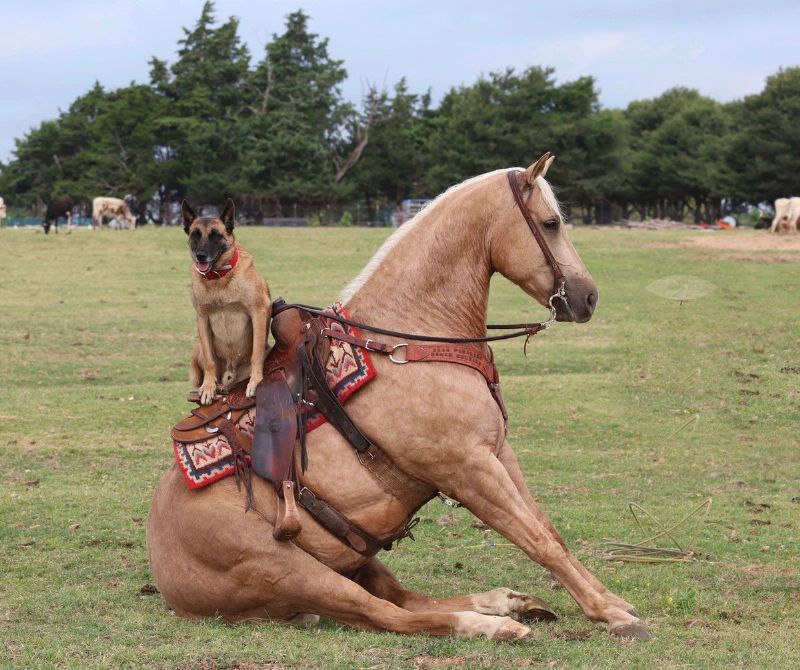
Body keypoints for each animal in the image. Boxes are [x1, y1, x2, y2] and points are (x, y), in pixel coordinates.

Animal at [147, 153, 650, 642]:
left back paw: (507, 602)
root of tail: (162, 562)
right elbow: (537, 540)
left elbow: (548, 530)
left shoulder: (498, 453)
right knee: (388, 614)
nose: (588, 297)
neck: (408, 338)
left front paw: (611, 600)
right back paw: (493, 624)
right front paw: (612, 614)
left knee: (407, 600)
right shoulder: (467, 469)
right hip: (292, 570)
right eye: (550, 223)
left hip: (357, 562)